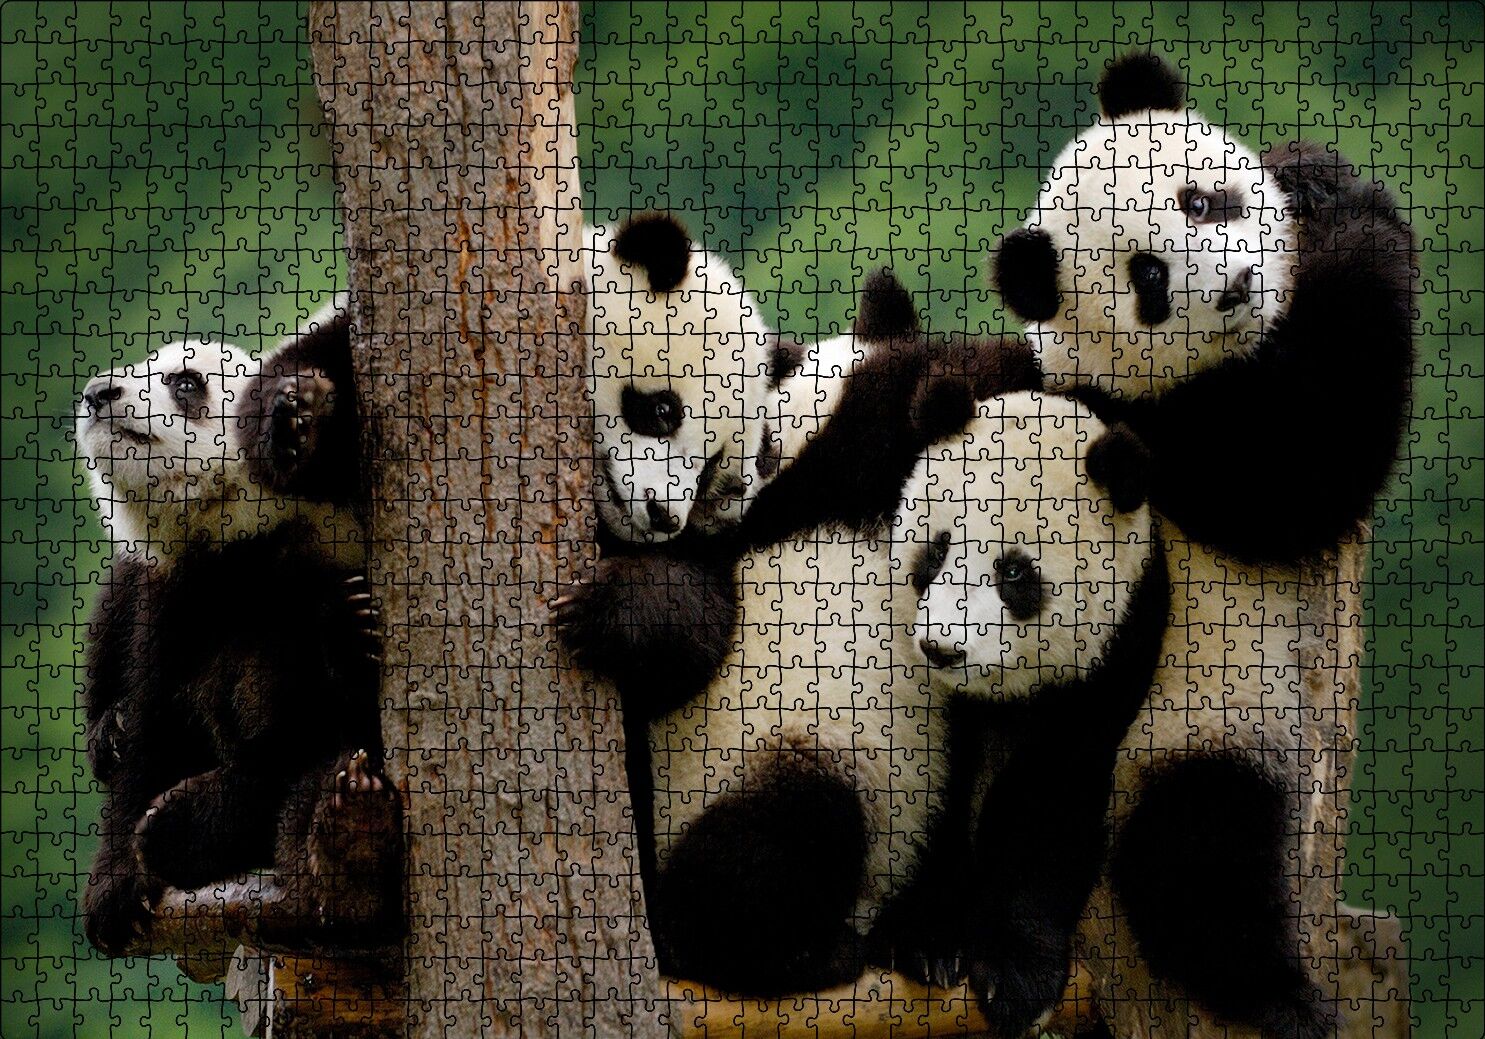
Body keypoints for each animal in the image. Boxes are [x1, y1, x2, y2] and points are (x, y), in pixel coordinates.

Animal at [990, 53, 1413, 1037]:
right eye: (1146, 276)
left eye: (1199, 200)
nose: (1233, 286)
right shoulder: (1163, 432)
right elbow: (1305, 469)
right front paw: (1362, 219)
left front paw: (1311, 172)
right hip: (1186, 723)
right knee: (1197, 851)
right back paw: (1275, 995)